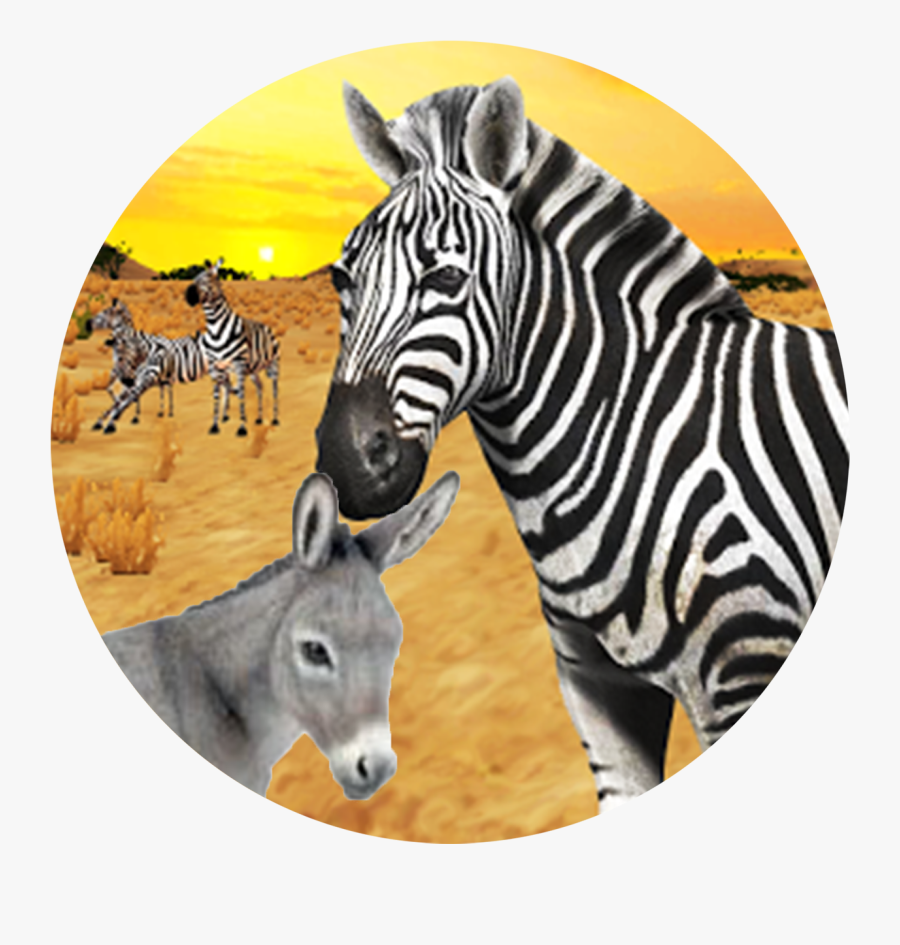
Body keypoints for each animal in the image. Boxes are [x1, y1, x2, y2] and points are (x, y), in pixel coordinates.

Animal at [185, 260, 281, 436]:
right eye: (194, 279)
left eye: (207, 280)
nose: (188, 295)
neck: (216, 330)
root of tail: (267, 327)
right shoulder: (216, 366)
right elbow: (217, 395)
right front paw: (215, 425)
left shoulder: (238, 364)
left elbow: (241, 392)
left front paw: (242, 428)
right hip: (253, 371)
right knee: (260, 387)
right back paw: (259, 418)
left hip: (273, 365)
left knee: (275, 389)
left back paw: (275, 419)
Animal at [314, 78, 849, 812]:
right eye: (342, 279)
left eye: (446, 281)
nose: (344, 465)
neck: (639, 429)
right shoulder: (596, 687)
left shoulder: (746, 668)